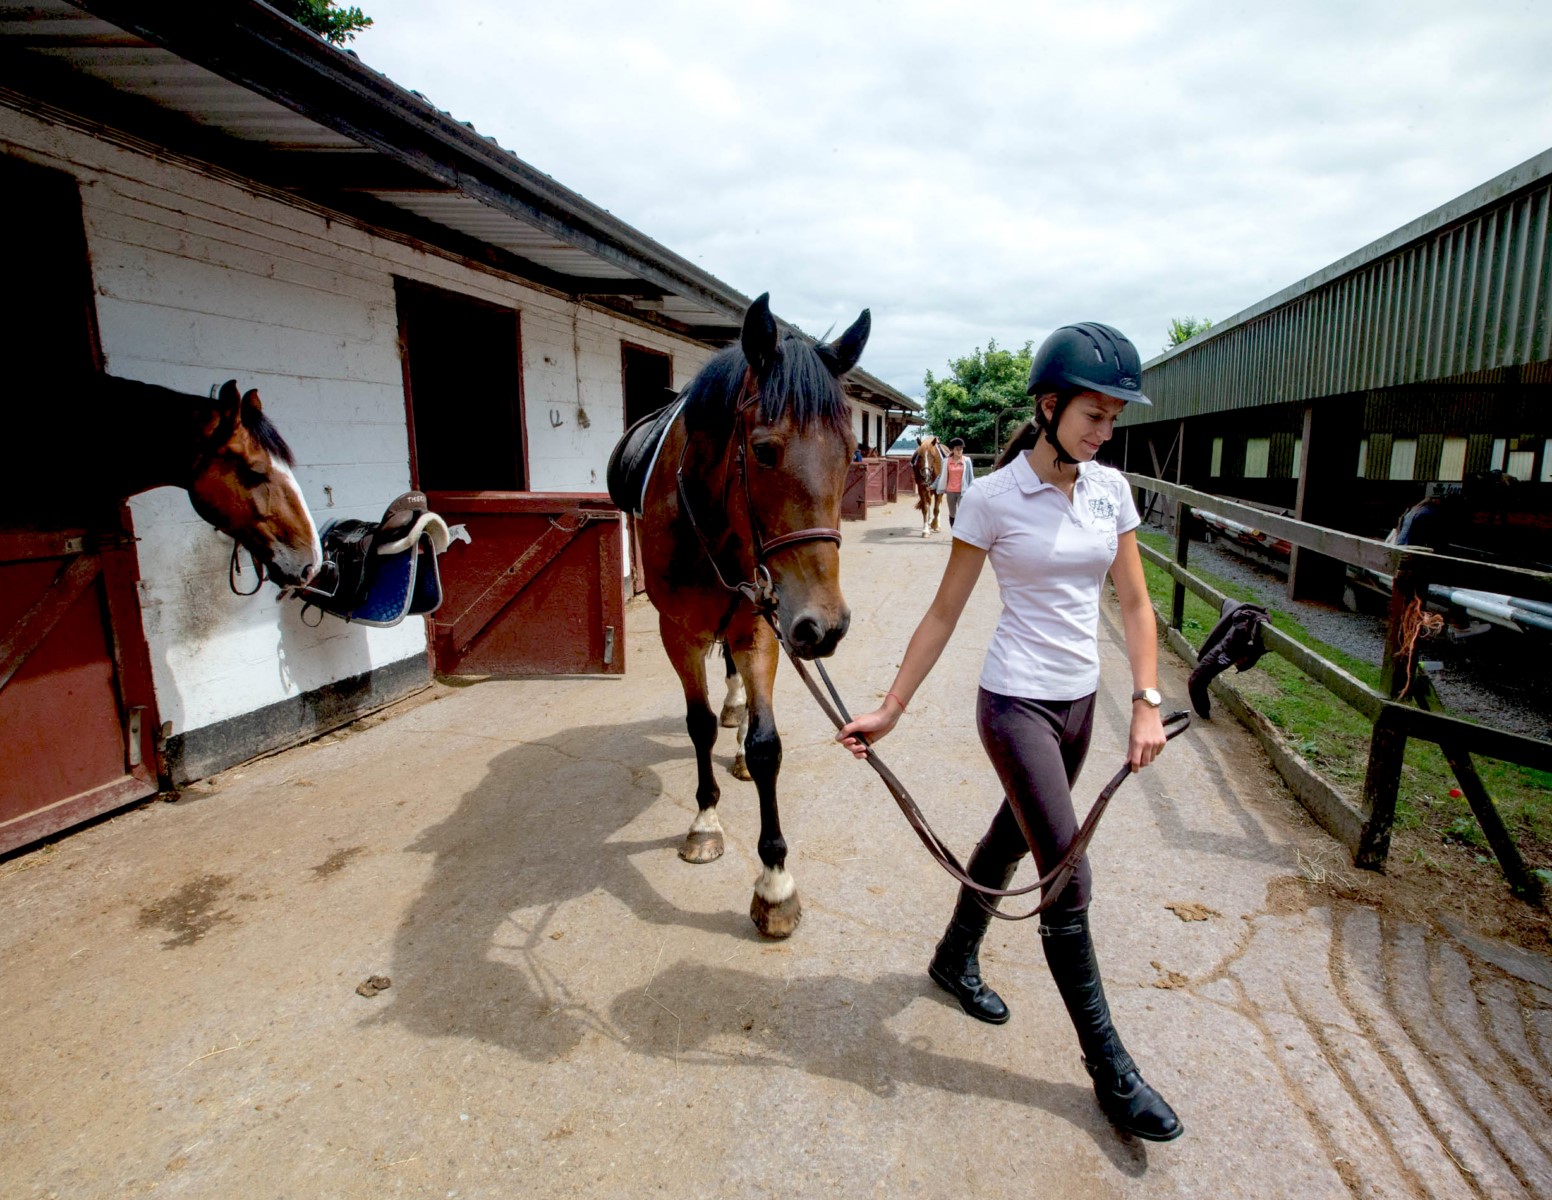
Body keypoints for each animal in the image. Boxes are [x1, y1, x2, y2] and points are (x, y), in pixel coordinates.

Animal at [611, 290, 869, 937]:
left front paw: (775, 883)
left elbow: (766, 744)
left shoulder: (760, 625)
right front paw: (705, 822)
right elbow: (698, 724)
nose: (825, 625)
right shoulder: (678, 631)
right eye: (762, 450)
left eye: (851, 454)